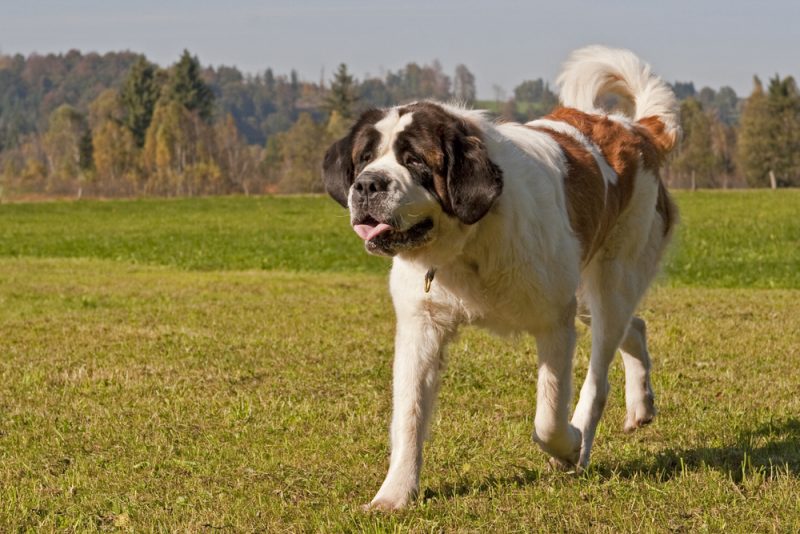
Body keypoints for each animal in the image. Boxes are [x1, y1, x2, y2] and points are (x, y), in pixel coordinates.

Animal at [322, 48, 680, 512]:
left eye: (414, 160)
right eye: (364, 158)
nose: (367, 185)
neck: (468, 242)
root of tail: (635, 130)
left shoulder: (554, 322)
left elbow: (548, 415)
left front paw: (567, 447)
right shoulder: (421, 327)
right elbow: (409, 415)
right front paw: (394, 495)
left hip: (610, 280)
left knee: (599, 372)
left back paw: (585, 438)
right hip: (584, 290)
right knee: (634, 326)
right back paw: (641, 407)